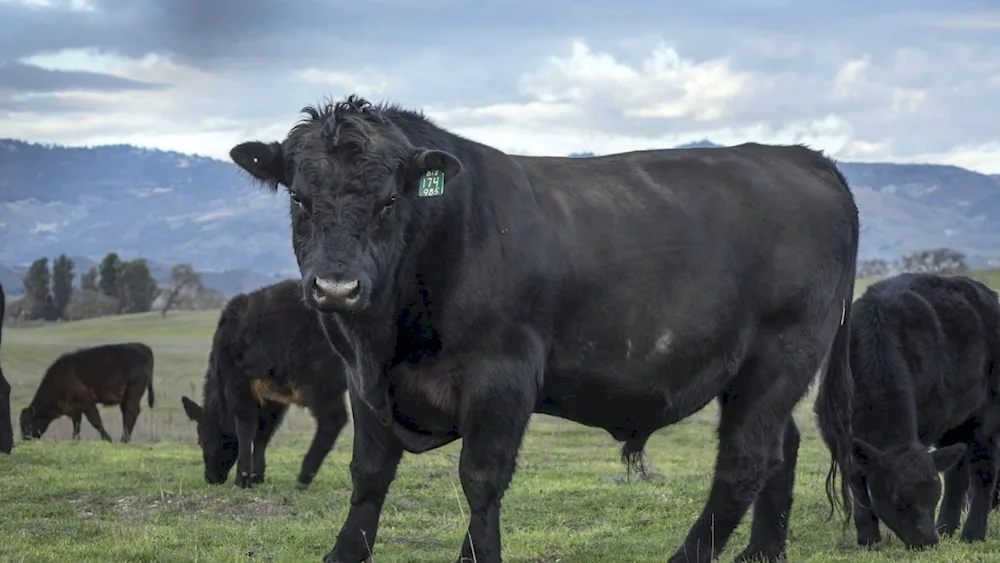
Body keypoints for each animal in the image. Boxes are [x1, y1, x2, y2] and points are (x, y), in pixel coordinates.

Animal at [19, 342, 155, 442]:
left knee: (130, 413)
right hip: (126, 398)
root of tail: (143, 348)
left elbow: (95, 421)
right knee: (128, 414)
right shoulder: (75, 409)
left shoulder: (87, 403)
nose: (25, 438)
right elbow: (77, 425)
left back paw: (123, 440)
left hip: (132, 393)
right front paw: (75, 440)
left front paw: (108, 439)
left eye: (26, 423)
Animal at [181, 280, 352, 490]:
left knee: (333, 420)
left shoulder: (239, 386)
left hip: (320, 383)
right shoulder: (272, 398)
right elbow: (263, 433)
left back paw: (303, 478)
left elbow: (245, 430)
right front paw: (257, 476)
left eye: (201, 440)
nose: (210, 478)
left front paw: (242, 478)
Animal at [229, 94, 860, 560]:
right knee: (780, 448)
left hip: (782, 354)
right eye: (300, 198)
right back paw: (762, 552)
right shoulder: (362, 381)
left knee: (743, 462)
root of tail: (804, 157)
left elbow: (481, 478)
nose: (337, 287)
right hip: (754, 374)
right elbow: (368, 476)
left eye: (389, 201)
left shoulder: (502, 374)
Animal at [820, 274, 1000, 552]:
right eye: (898, 500)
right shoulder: (837, 438)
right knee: (957, 470)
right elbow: (857, 482)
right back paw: (946, 527)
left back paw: (972, 534)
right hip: (955, 424)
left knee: (984, 471)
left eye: (932, 497)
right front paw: (869, 539)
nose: (928, 542)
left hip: (986, 416)